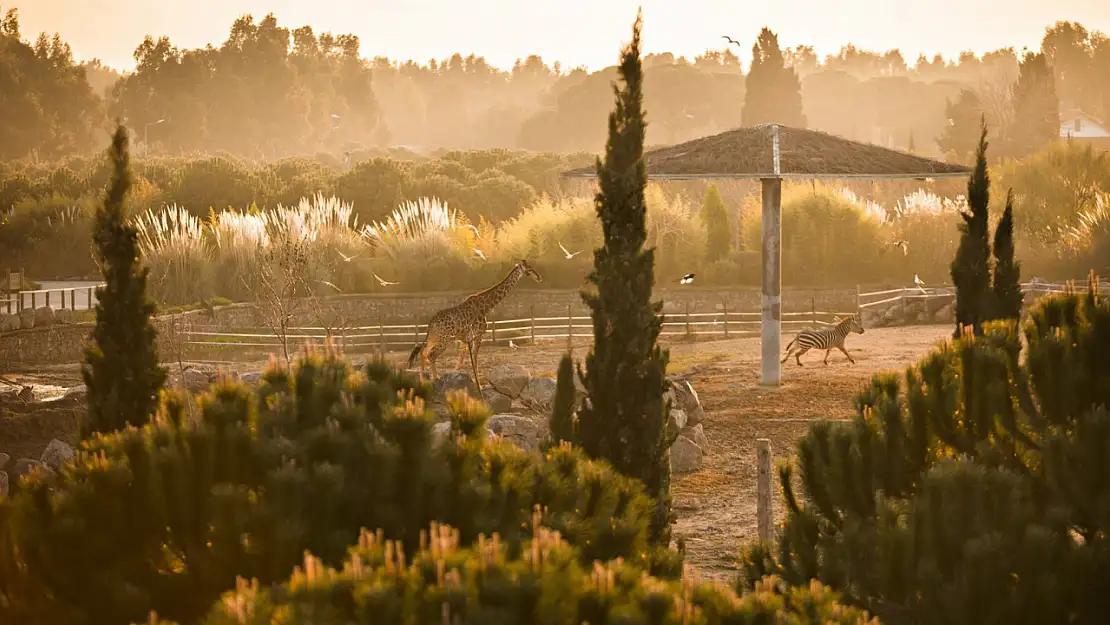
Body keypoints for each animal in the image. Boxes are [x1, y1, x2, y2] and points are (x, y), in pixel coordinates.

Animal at [410, 259, 543, 386]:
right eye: (530, 269)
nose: (539, 277)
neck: (486, 307)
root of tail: (432, 322)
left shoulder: (466, 338)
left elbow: (462, 358)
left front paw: (458, 375)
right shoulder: (478, 335)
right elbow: (474, 359)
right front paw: (477, 382)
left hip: (435, 337)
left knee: (423, 351)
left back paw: (423, 379)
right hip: (445, 338)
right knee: (431, 354)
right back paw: (435, 378)